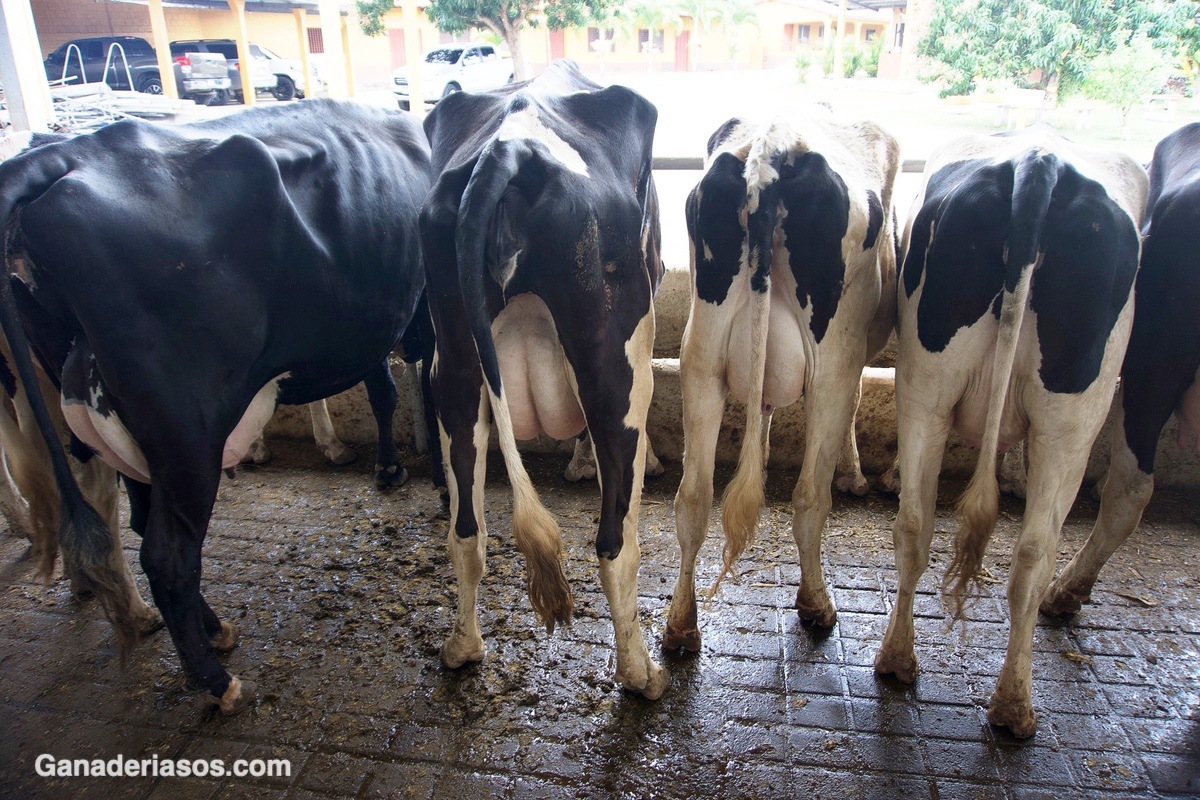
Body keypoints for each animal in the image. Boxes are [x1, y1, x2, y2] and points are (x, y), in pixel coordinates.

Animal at [0, 100, 432, 714]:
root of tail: (65, 153)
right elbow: (401, 392)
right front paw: (403, 472)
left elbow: (382, 389)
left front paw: (384, 465)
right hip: (187, 430)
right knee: (166, 553)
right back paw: (214, 679)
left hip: (120, 425)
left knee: (139, 523)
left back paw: (211, 630)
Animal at [422, 62, 672, 695]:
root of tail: (511, 147)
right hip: (615, 363)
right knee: (615, 541)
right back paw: (641, 672)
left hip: (454, 364)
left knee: (467, 530)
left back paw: (462, 647)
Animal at [667, 112, 902, 652]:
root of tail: (773, 148)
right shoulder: (855, 360)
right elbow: (858, 401)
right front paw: (854, 473)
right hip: (833, 359)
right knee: (810, 497)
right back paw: (816, 603)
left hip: (701, 356)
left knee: (693, 497)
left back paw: (680, 625)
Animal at [878, 126, 1147, 738]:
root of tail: (1037, 163)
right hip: (1074, 414)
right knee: (1046, 545)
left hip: (930, 381)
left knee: (924, 526)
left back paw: (914, 665)